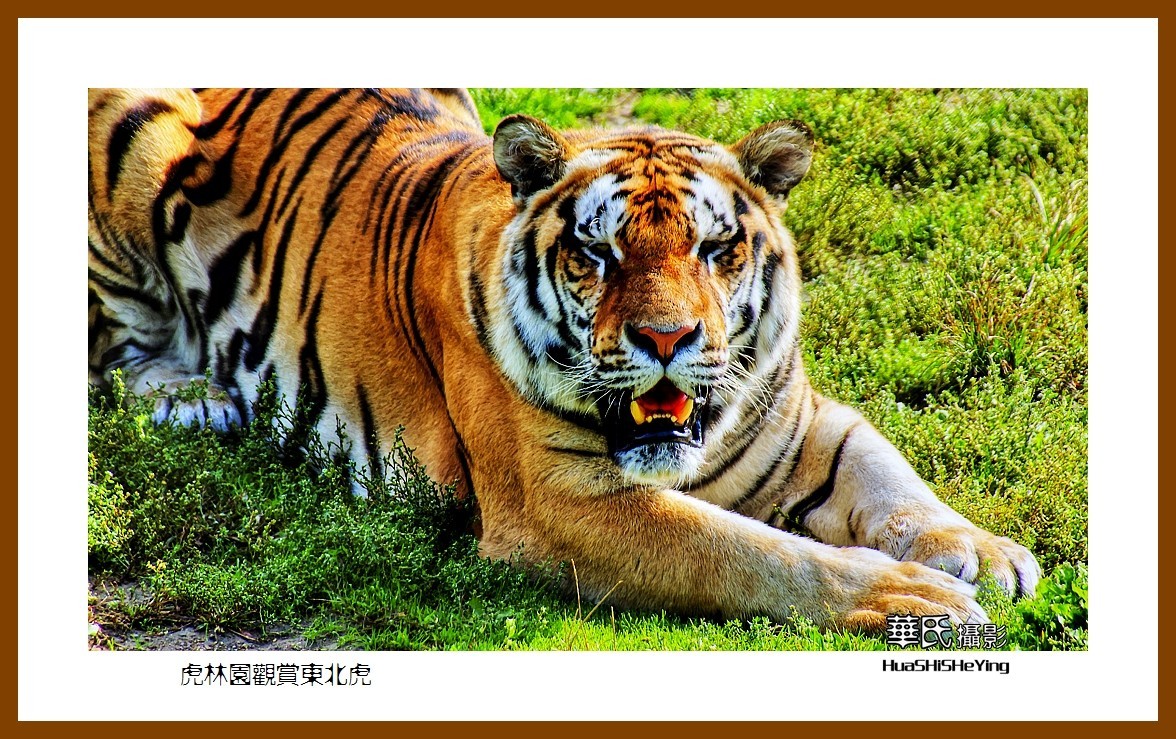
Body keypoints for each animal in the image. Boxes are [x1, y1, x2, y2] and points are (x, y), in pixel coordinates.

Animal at [88, 88, 1041, 631]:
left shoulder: (805, 418)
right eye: (598, 253)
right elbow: (746, 552)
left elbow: (892, 477)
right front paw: (915, 599)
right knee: (116, 353)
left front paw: (984, 552)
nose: (667, 340)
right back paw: (193, 395)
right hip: (134, 137)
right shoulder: (558, 503)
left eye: (715, 249)